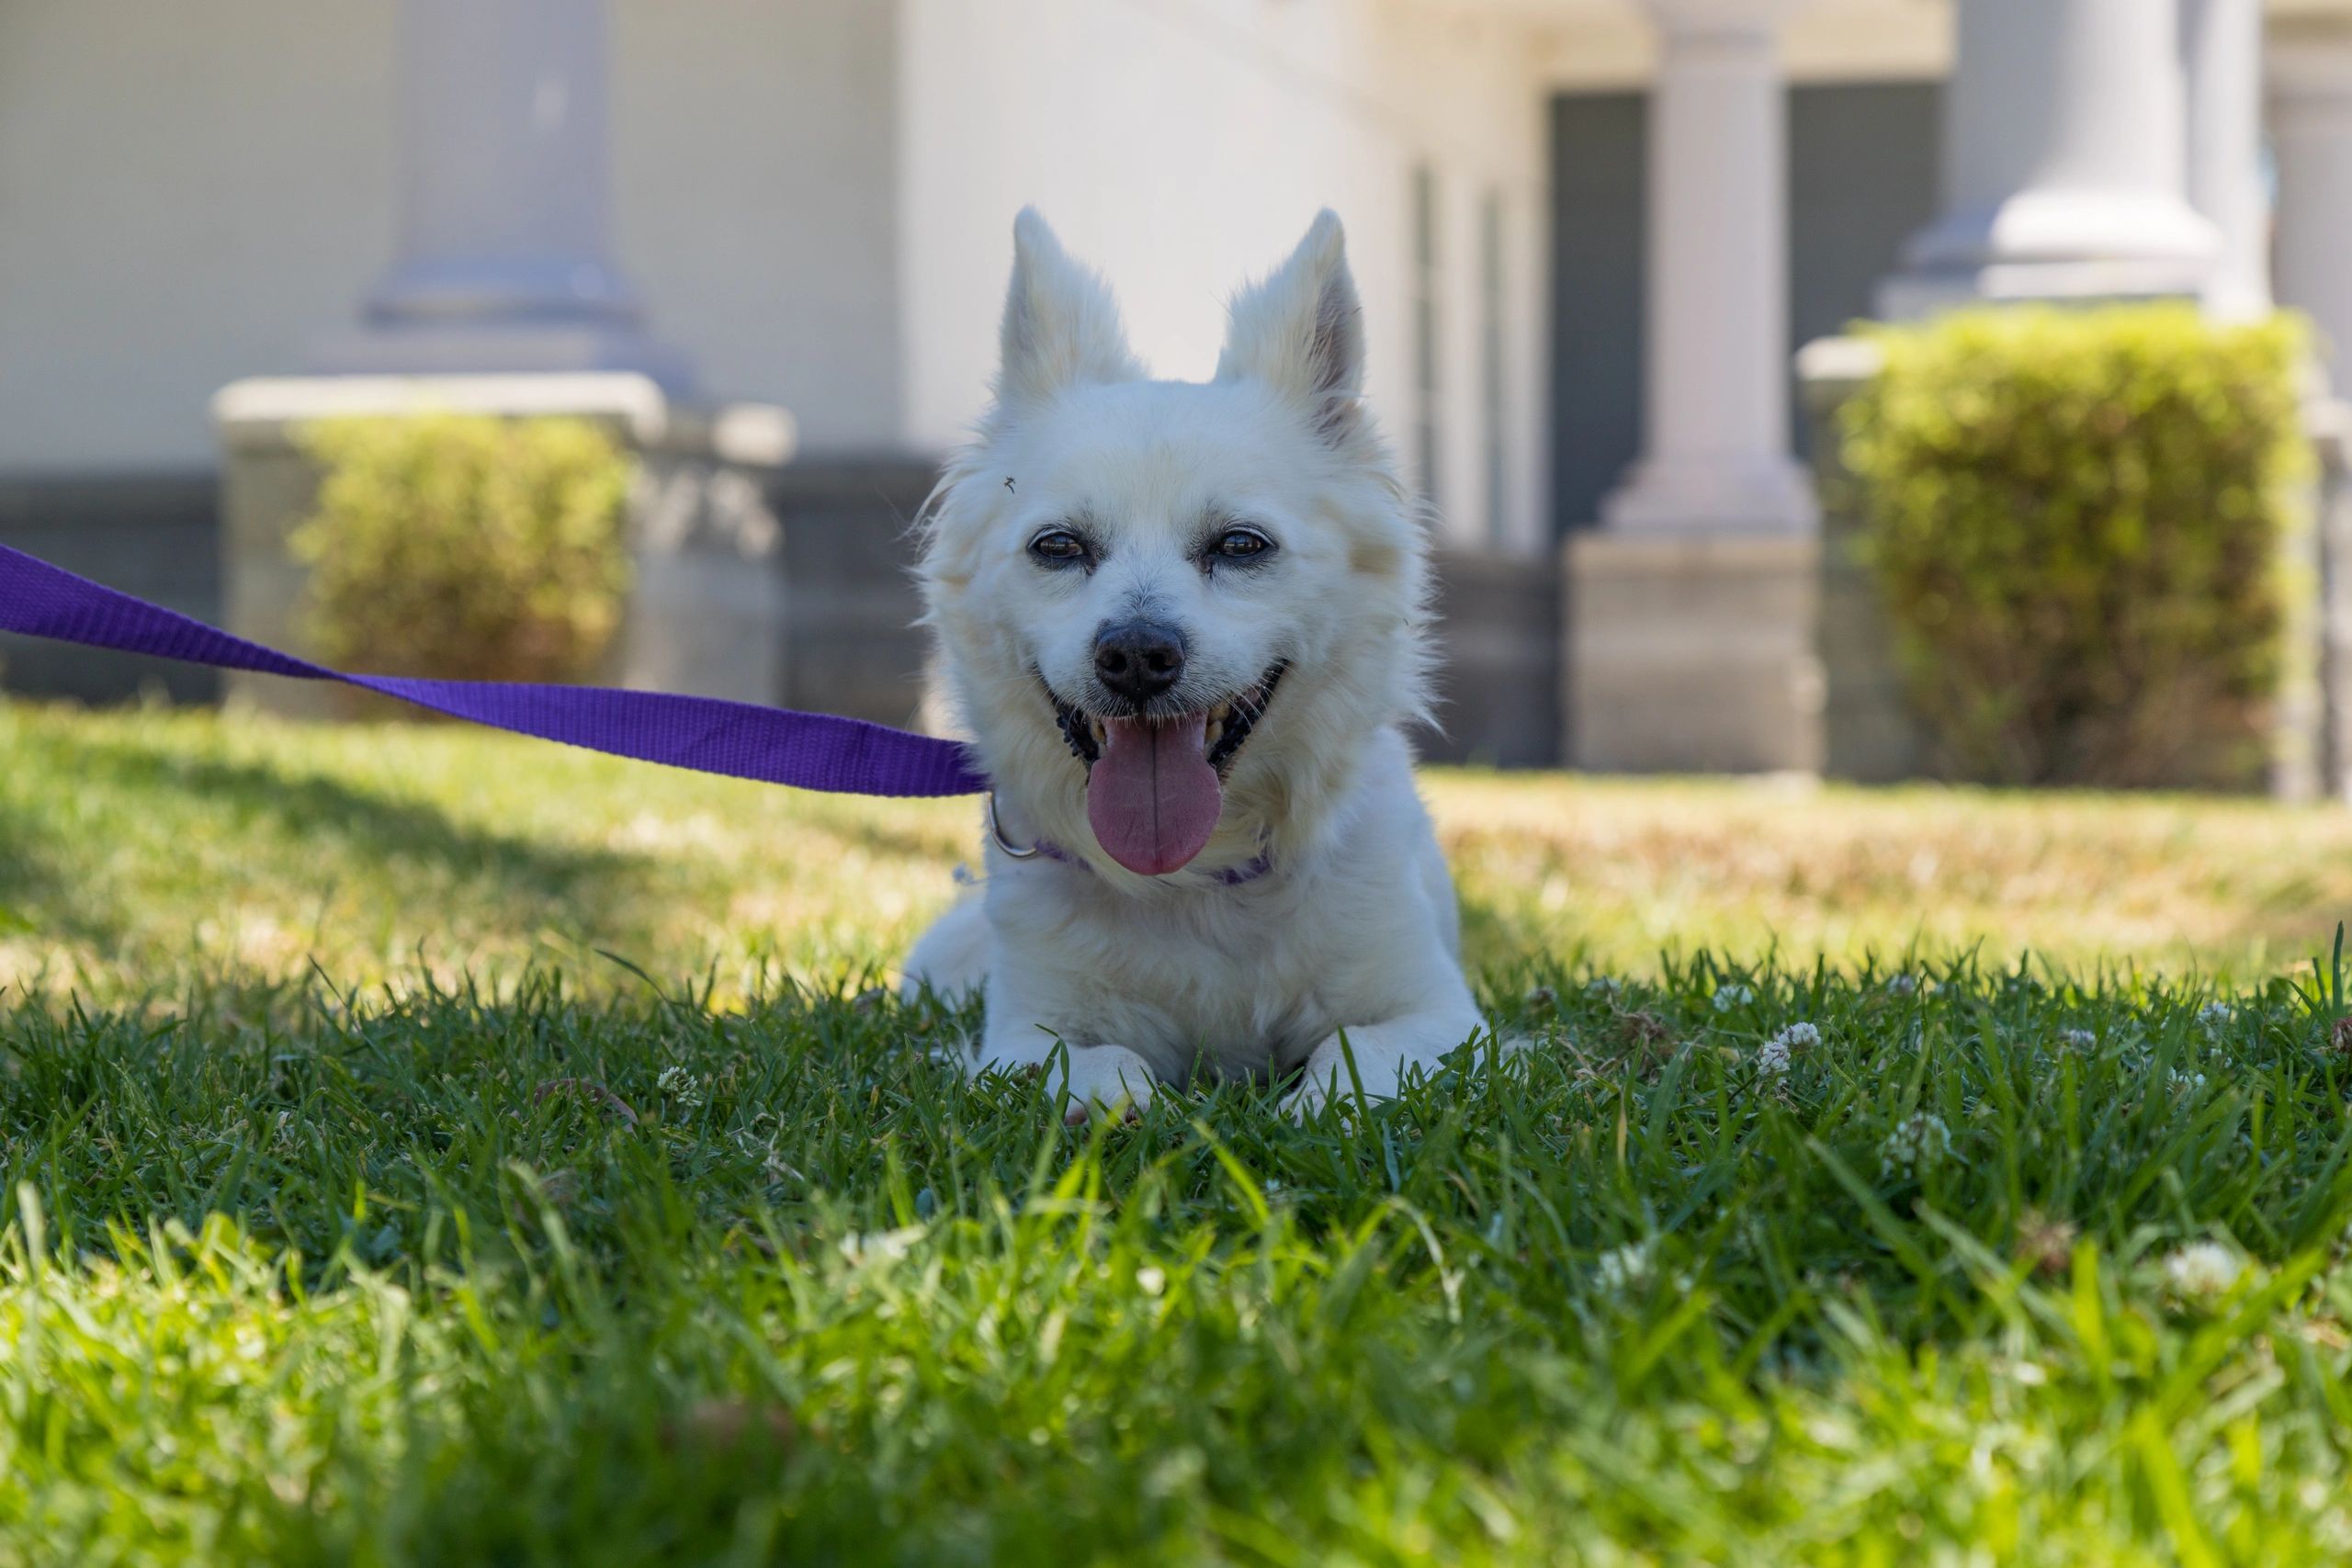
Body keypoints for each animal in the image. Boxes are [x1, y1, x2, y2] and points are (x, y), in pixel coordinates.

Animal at [908, 208, 1476, 1123]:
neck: (1197, 879)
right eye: (1057, 547)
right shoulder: (1024, 1036)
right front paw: (1140, 1108)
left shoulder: (1441, 1018)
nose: (1137, 654)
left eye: (1241, 546)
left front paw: (1308, 1112)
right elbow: (1100, 1065)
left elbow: (1353, 1055)